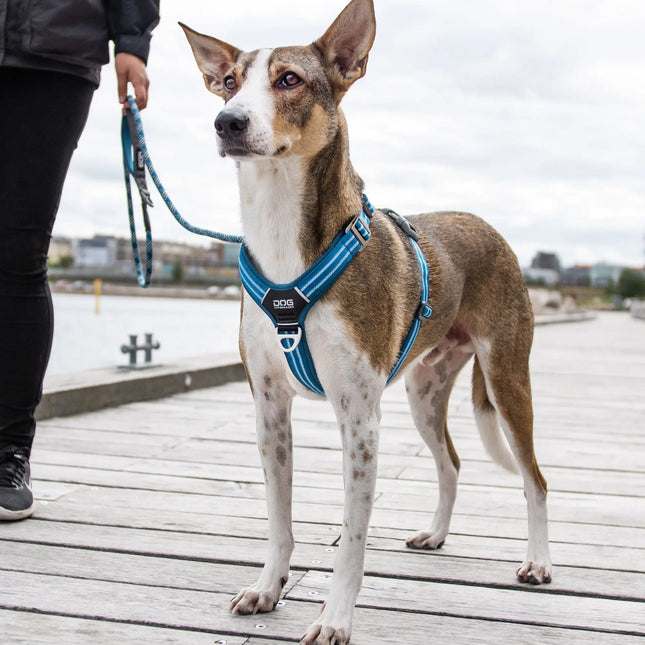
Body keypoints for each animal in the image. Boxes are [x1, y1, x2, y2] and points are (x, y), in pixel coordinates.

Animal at [180, 2, 548, 640]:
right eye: (228, 82)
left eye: (289, 80)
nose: (227, 122)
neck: (281, 237)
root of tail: (485, 223)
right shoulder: (268, 407)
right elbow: (278, 518)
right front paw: (268, 588)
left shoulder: (359, 417)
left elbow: (352, 537)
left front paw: (334, 619)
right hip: (425, 391)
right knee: (450, 463)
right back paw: (437, 534)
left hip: (506, 379)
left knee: (535, 479)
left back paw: (538, 562)